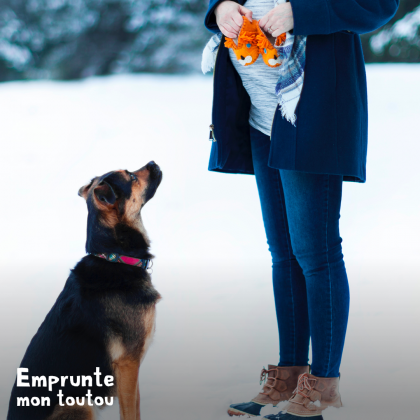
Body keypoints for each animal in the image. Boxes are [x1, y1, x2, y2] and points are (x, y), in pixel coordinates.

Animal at [8, 162, 162, 420]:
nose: (153, 163)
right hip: (79, 403)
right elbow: (130, 412)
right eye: (131, 176)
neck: (115, 257)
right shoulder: (128, 364)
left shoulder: (132, 366)